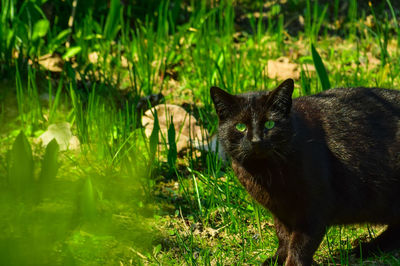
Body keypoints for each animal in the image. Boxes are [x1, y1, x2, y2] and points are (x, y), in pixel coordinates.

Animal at [209, 79, 400, 266]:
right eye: (240, 126)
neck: (266, 174)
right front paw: (277, 259)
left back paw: (367, 248)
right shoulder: (280, 212)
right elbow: (283, 237)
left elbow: (301, 243)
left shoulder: (314, 209)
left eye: (270, 124)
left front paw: (292, 262)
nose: (256, 140)